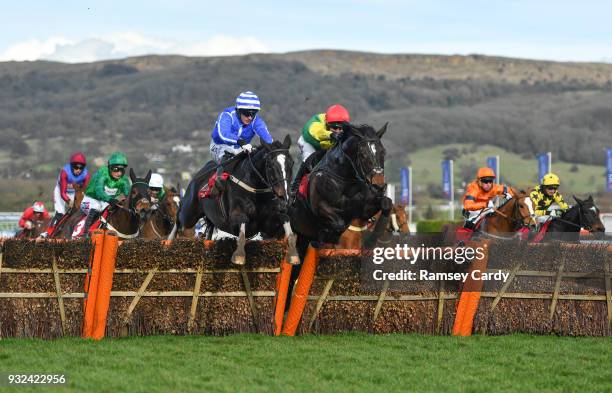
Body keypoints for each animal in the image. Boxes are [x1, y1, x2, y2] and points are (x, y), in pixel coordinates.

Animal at [173, 135, 298, 264]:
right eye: (270, 165)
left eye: (292, 163)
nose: (284, 195)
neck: (255, 189)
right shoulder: (234, 218)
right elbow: (242, 224)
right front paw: (239, 255)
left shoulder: (268, 223)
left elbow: (286, 220)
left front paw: (293, 255)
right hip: (189, 213)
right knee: (179, 217)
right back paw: (169, 241)